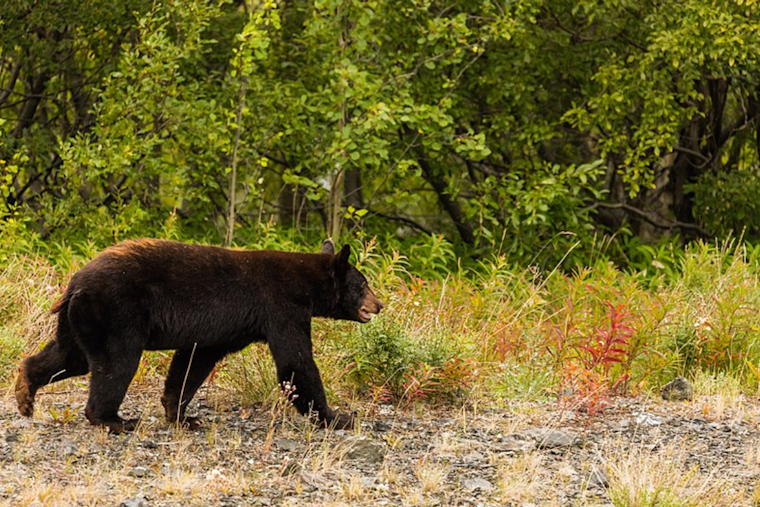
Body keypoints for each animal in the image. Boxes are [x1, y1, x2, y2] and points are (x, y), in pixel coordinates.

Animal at [14, 238, 383, 433]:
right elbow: (296, 362)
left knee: (68, 355)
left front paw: (182, 415)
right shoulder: (282, 307)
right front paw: (339, 416)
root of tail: (75, 283)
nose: (378, 304)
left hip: (81, 320)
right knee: (115, 363)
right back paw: (114, 420)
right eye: (363, 283)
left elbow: (193, 361)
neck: (306, 284)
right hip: (116, 313)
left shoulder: (221, 330)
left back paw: (25, 393)